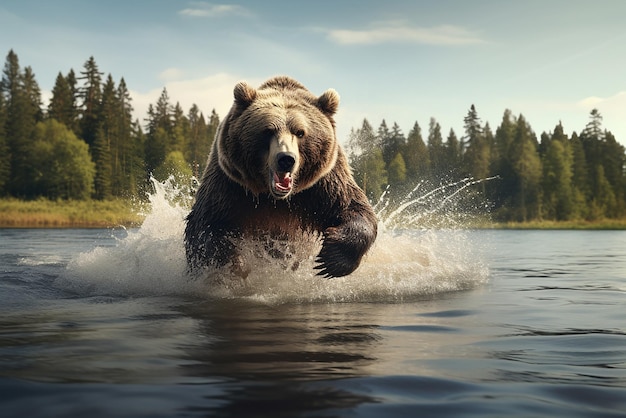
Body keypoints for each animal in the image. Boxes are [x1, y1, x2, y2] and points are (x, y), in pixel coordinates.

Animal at [182, 76, 376, 278]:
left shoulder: (323, 184)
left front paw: (330, 259)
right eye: (268, 130)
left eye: (300, 132)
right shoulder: (230, 184)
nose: (286, 159)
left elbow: (353, 207)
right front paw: (232, 265)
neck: (274, 198)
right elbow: (207, 225)